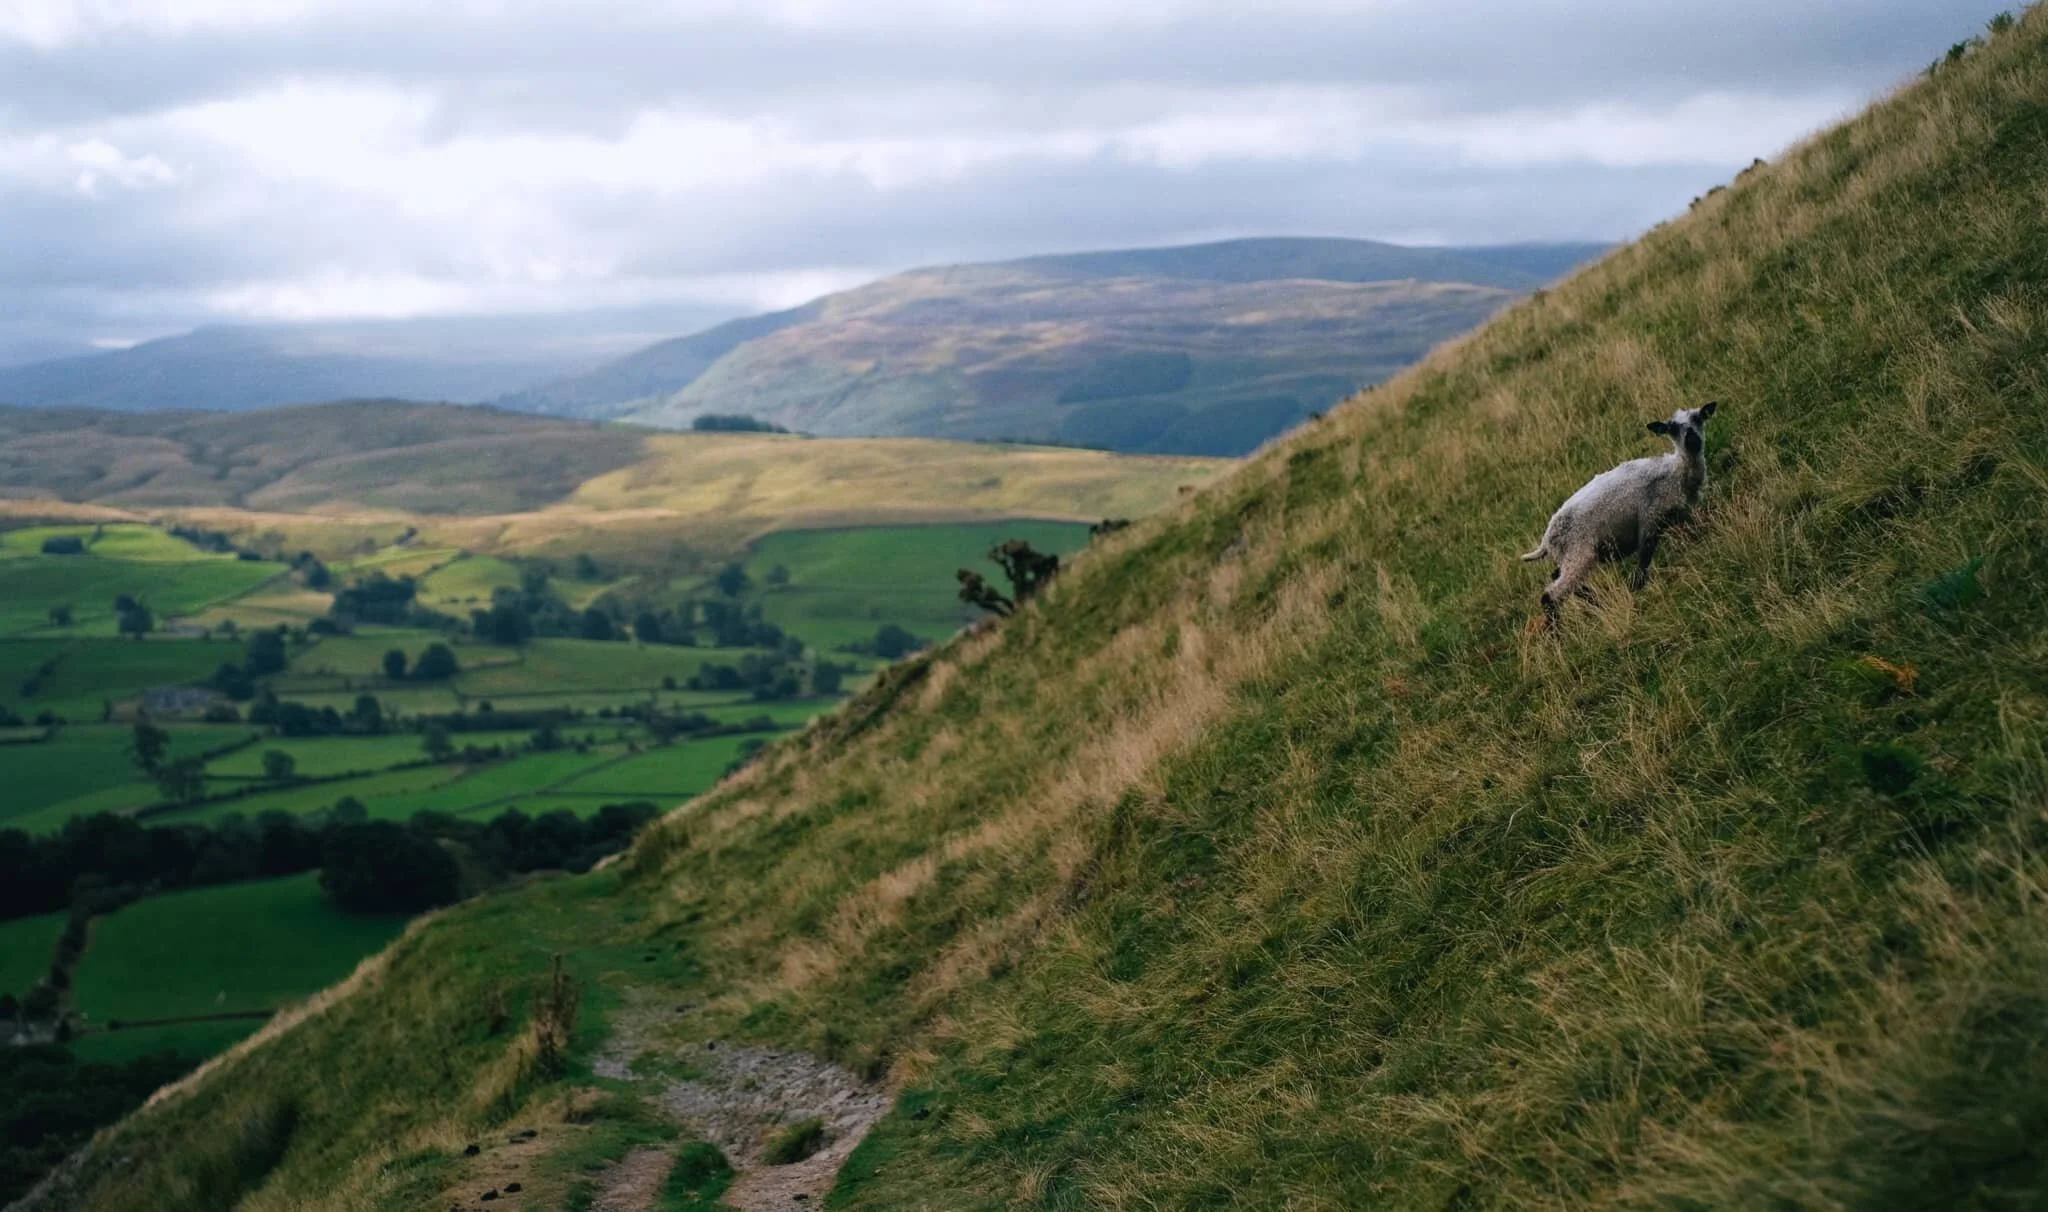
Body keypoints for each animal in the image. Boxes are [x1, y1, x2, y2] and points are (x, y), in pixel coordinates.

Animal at [1521, 401, 1718, 626]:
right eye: (1672, 428)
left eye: (1698, 418)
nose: (1692, 440)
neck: (1675, 471)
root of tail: (1546, 540)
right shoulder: (1649, 520)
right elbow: (1643, 563)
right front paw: (1635, 592)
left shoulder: (1682, 515)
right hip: (1579, 554)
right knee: (1550, 595)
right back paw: (1558, 629)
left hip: (1570, 557)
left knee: (1556, 577)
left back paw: (1596, 603)